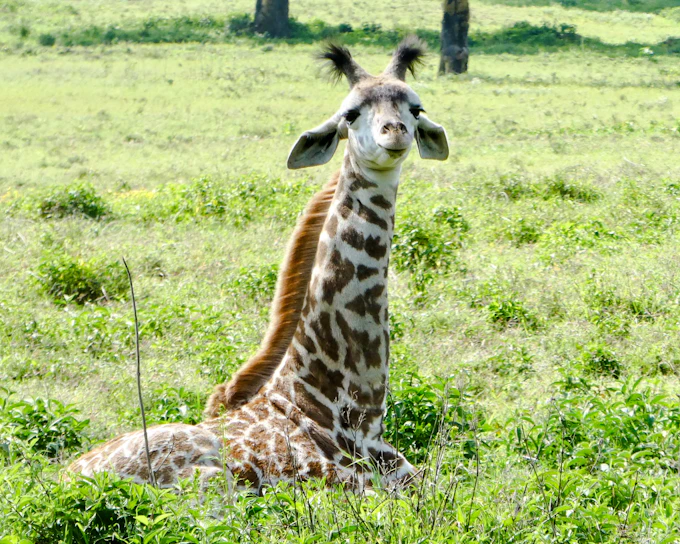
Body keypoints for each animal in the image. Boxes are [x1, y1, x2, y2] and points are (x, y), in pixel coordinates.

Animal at [67, 37, 449, 492]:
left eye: (416, 108)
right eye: (350, 113)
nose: (395, 134)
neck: (350, 413)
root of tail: (63, 477)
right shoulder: (348, 488)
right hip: (210, 484)